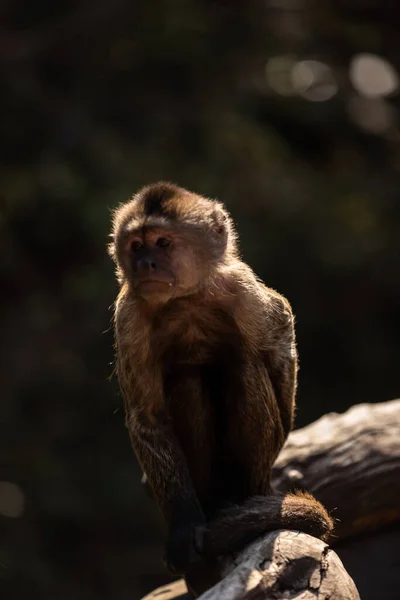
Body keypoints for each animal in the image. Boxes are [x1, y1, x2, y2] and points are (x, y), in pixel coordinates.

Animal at [108, 182, 332, 596]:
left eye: (163, 243)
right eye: (137, 246)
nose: (145, 264)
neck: (184, 299)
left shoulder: (242, 289)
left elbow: (281, 342)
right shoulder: (129, 315)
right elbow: (148, 418)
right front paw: (184, 526)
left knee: (243, 365)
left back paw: (239, 498)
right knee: (188, 379)